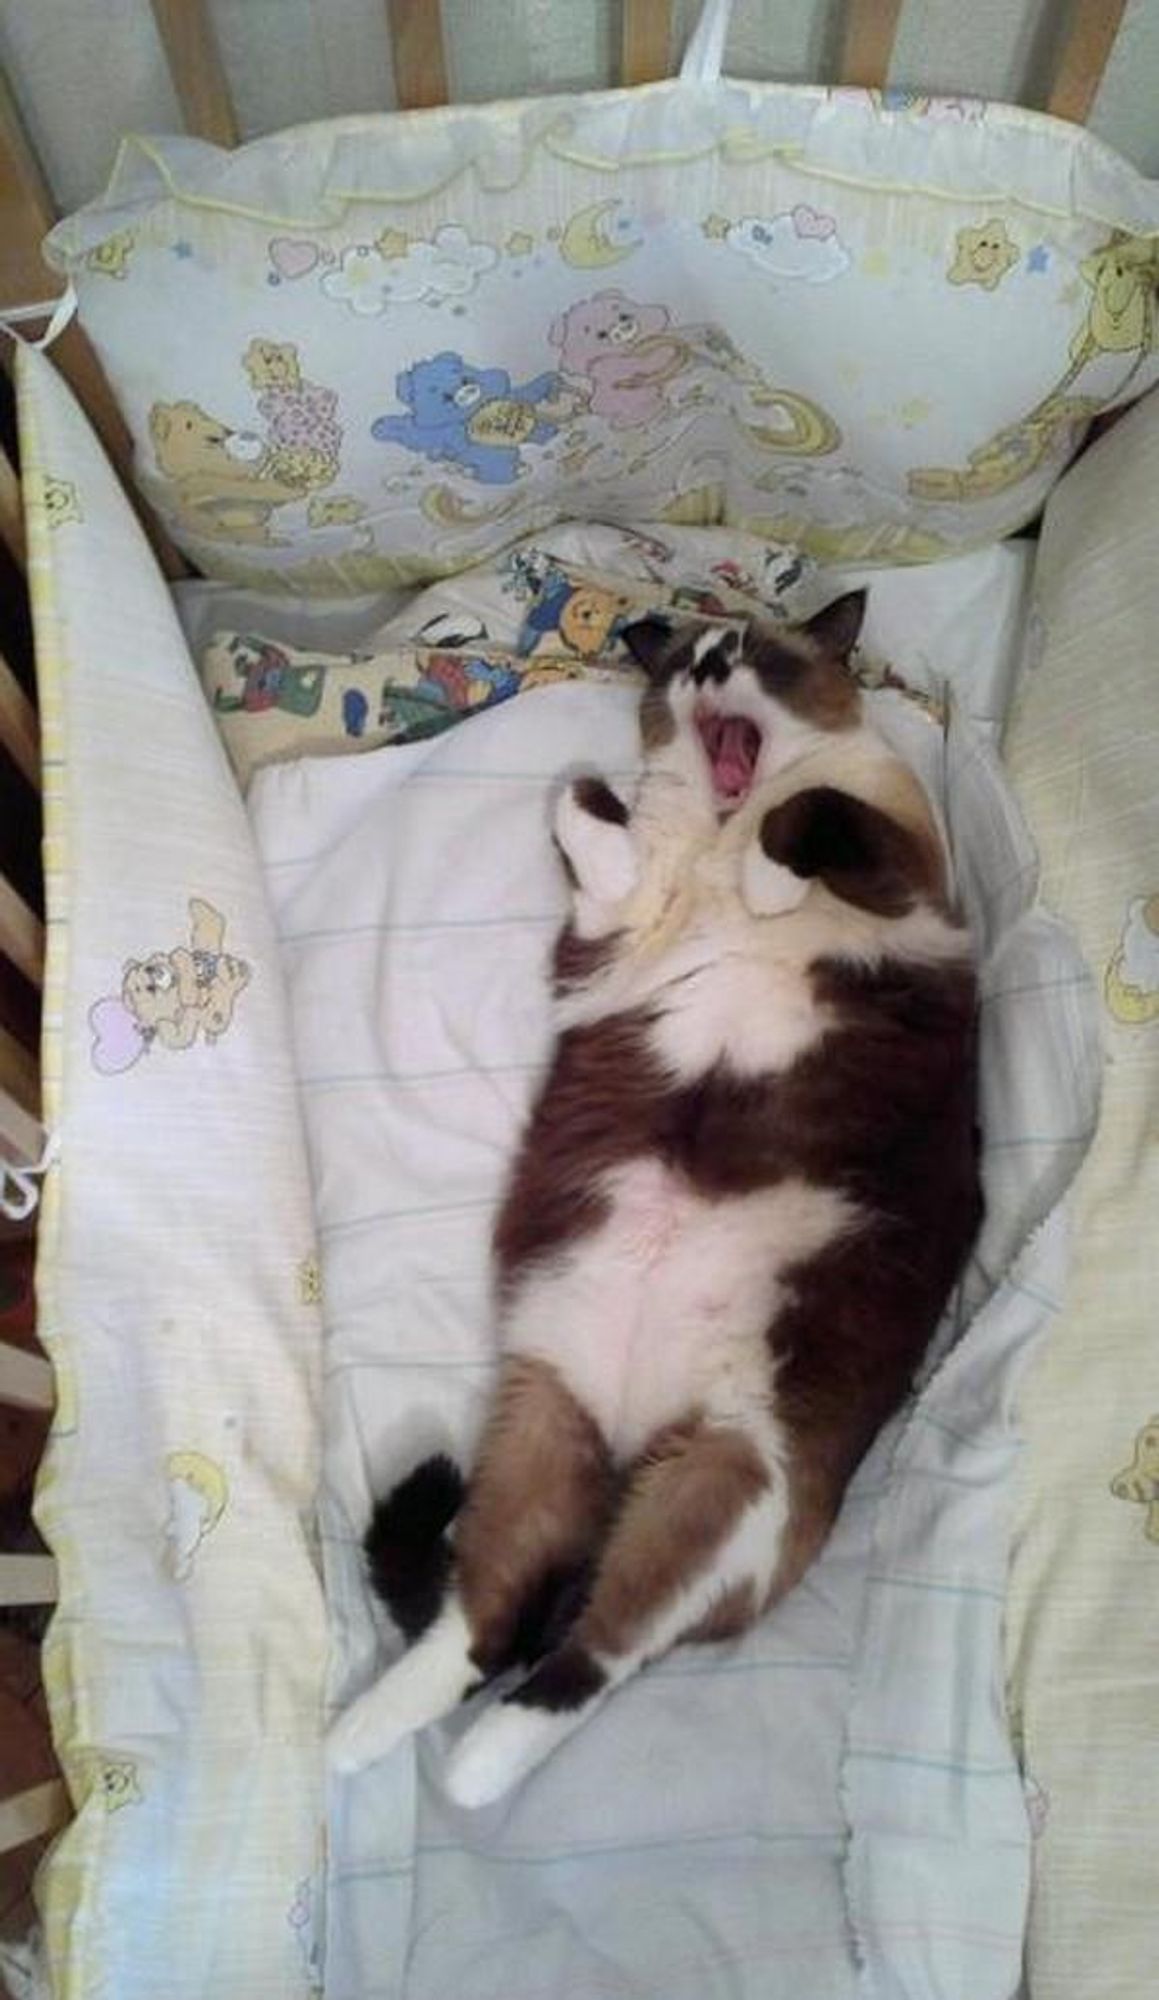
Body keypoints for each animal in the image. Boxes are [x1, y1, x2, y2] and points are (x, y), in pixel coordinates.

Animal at [329, 588, 983, 1816]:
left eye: (753, 656)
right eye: (689, 663)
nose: (712, 665)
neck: (723, 822)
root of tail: (637, 1436)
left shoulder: (900, 877)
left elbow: (812, 815)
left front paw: (769, 872)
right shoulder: (607, 940)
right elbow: (592, 825)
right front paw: (604, 799)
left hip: (724, 1489)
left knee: (592, 1652)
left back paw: (464, 1774)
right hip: (549, 1426)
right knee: (491, 1624)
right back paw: (355, 1741)